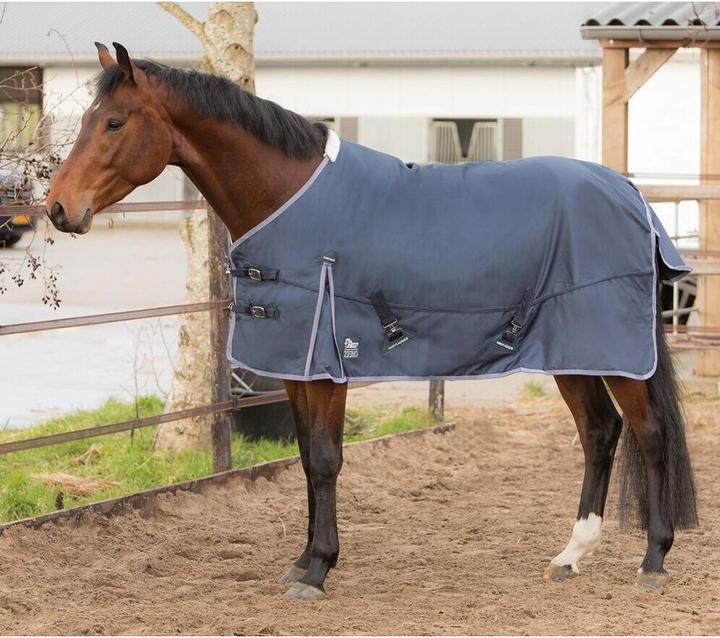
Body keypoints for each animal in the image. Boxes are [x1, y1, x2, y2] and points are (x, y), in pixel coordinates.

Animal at [46, 42, 697, 600]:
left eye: (114, 122)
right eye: (87, 119)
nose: (58, 208)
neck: (290, 198)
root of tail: (631, 195)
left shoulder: (329, 365)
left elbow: (327, 459)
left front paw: (319, 570)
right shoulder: (296, 366)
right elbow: (306, 458)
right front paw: (302, 561)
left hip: (614, 350)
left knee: (649, 433)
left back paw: (653, 561)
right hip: (576, 350)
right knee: (600, 433)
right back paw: (571, 555)